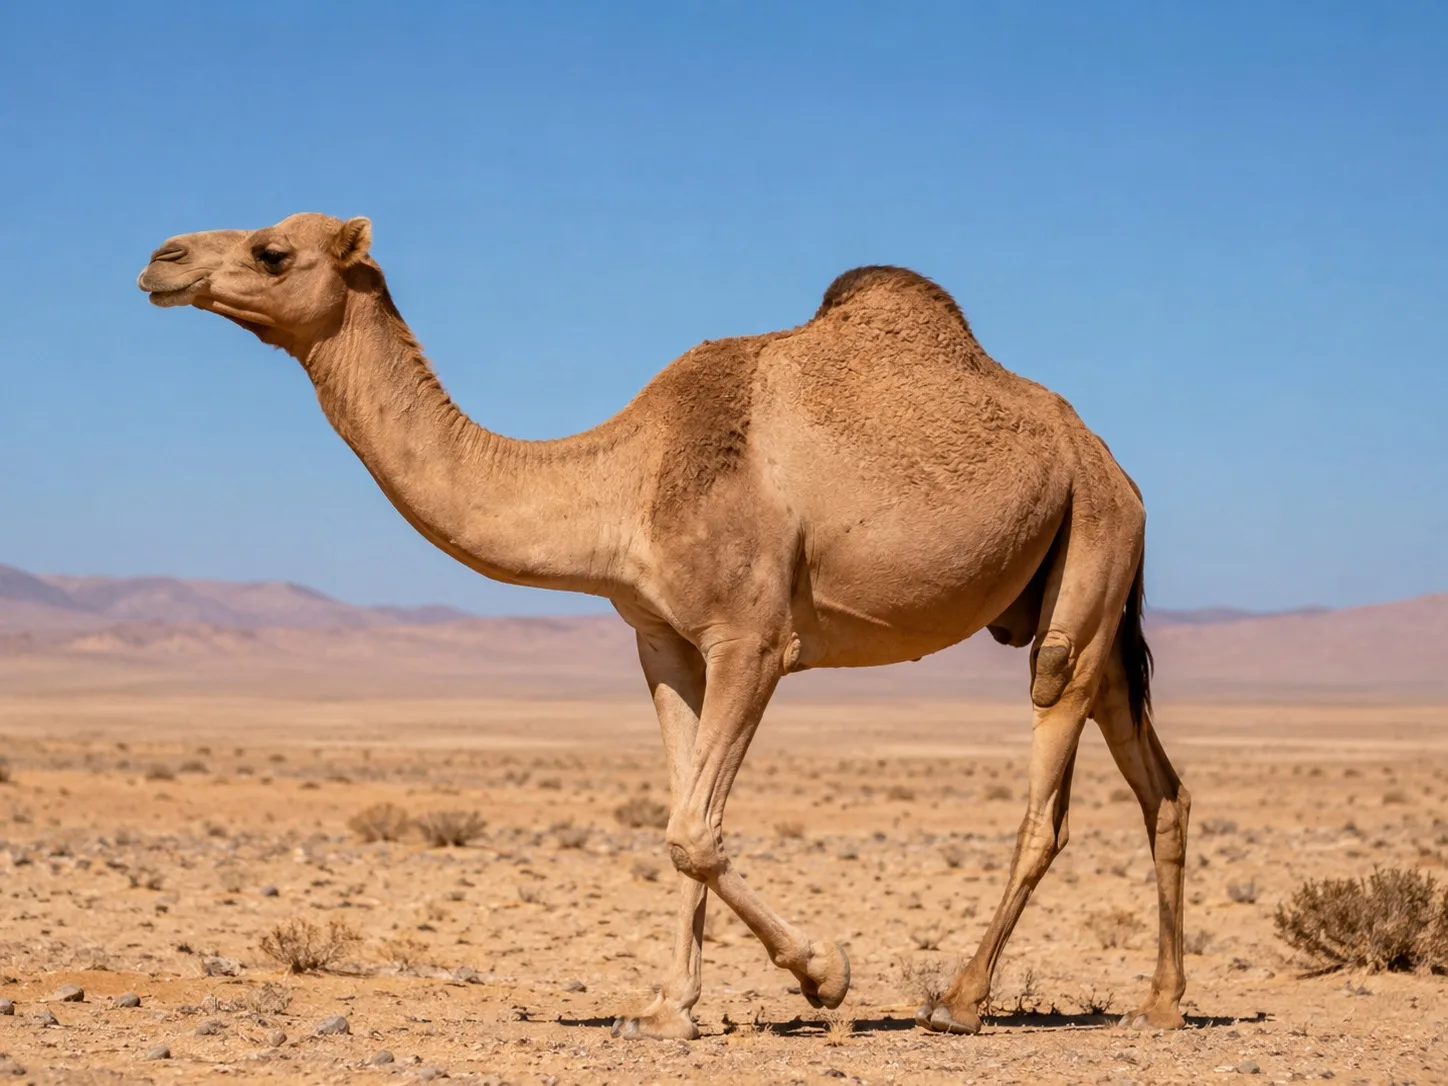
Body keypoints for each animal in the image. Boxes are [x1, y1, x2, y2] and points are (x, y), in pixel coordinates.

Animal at [137, 213, 1191, 1040]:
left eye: (273, 251)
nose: (161, 258)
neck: (627, 484)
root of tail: (1113, 463)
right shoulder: (664, 646)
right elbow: (687, 819)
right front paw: (666, 1010)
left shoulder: (754, 641)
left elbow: (694, 827)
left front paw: (825, 975)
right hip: (1086, 587)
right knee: (1163, 788)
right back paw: (1161, 1004)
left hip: (1087, 555)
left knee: (1049, 780)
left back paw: (959, 1001)